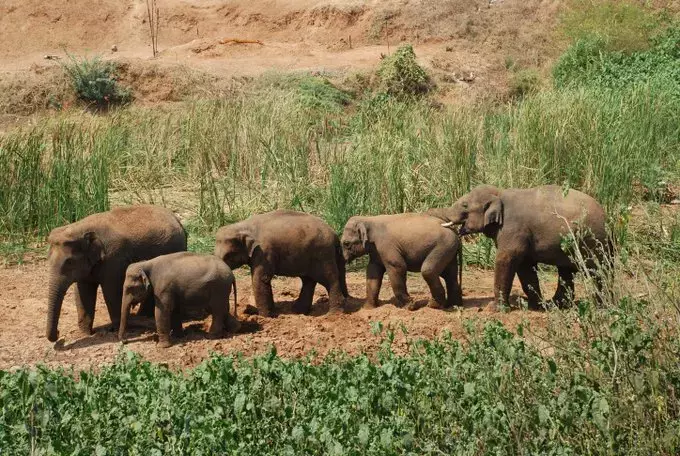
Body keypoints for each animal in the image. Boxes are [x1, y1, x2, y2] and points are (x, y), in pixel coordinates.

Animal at [45, 205, 186, 340]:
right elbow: (83, 292)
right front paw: (86, 333)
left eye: (69, 262)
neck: (79, 228)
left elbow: (111, 292)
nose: (58, 333)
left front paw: (117, 326)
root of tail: (178, 220)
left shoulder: (113, 260)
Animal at [215, 210, 348, 318]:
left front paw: (266, 317)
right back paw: (298, 311)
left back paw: (333, 314)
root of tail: (335, 236)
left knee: (329, 280)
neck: (243, 225)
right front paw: (272, 312)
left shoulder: (263, 252)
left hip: (323, 255)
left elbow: (260, 279)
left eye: (228, 256)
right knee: (308, 280)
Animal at [430, 185, 612, 310]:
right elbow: (525, 267)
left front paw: (494, 309)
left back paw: (602, 306)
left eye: (465, 205)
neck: (499, 192)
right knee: (566, 271)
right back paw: (557, 304)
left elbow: (506, 259)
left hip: (595, 242)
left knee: (599, 272)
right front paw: (535, 306)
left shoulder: (513, 228)